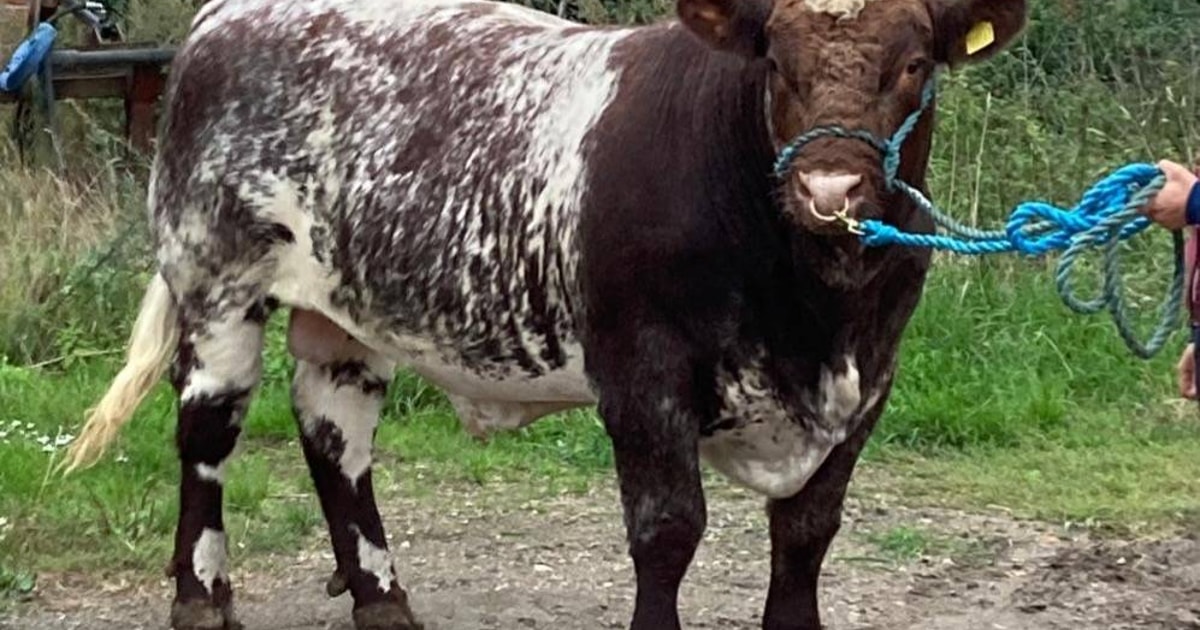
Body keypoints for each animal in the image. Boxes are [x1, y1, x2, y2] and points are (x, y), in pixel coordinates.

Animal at [63, 0, 1027, 628]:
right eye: (773, 61)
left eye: (914, 65)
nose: (829, 189)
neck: (812, 312)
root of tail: (225, 17)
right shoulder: (643, 374)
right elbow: (668, 531)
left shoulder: (870, 378)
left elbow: (806, 533)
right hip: (216, 281)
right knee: (208, 433)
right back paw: (201, 600)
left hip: (346, 313)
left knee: (335, 439)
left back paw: (383, 599)